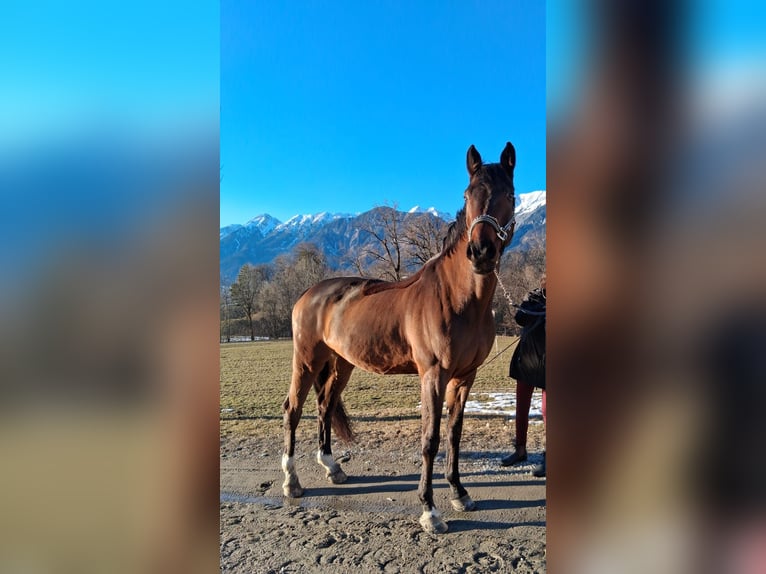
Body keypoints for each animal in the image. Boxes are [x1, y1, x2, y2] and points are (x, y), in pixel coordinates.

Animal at [281, 142, 517, 533]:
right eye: (468, 194)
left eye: (510, 195)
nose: (481, 253)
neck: (460, 298)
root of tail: (308, 293)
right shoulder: (433, 375)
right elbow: (430, 440)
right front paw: (430, 510)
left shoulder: (465, 378)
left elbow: (454, 434)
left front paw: (460, 493)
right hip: (307, 360)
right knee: (293, 409)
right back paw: (291, 481)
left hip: (341, 364)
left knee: (325, 406)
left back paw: (332, 468)